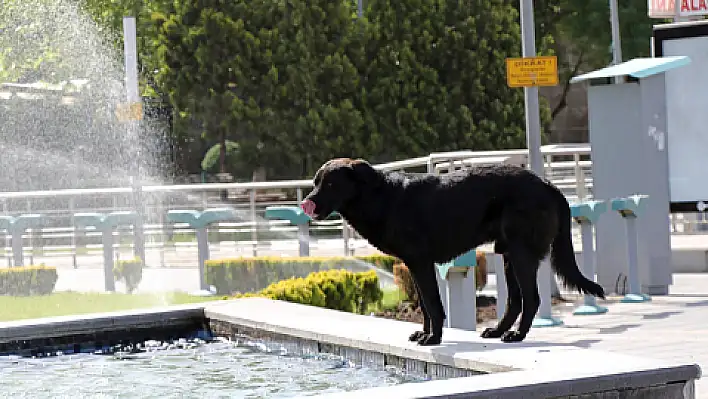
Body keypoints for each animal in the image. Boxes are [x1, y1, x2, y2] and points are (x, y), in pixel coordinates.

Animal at [298, 158, 604, 346]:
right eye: (315, 183)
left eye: (331, 184)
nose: (306, 203)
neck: (380, 197)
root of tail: (548, 185)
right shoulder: (414, 265)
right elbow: (424, 304)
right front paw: (424, 333)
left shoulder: (420, 262)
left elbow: (433, 304)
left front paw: (433, 339)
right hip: (508, 255)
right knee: (515, 301)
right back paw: (499, 331)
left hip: (521, 254)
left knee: (531, 299)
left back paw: (516, 335)